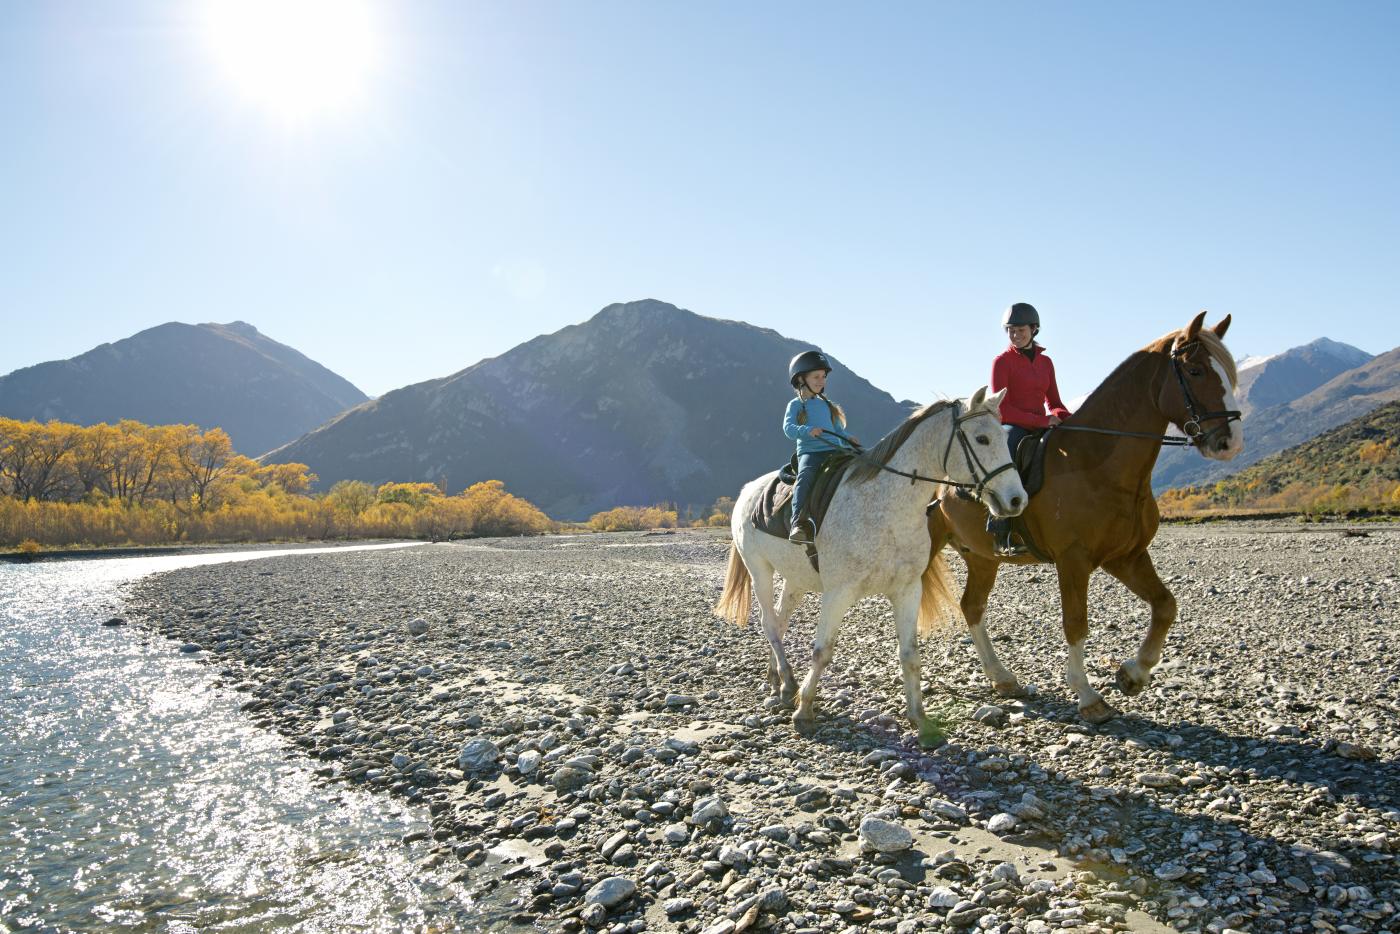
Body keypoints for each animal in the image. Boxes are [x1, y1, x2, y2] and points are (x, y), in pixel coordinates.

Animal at [924, 313, 1243, 722]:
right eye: (1196, 370)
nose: (1230, 442)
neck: (1096, 463)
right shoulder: (1073, 560)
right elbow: (1076, 623)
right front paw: (1089, 696)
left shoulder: (1126, 557)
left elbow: (1165, 605)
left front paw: (1133, 674)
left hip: (982, 556)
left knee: (972, 607)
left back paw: (1003, 678)